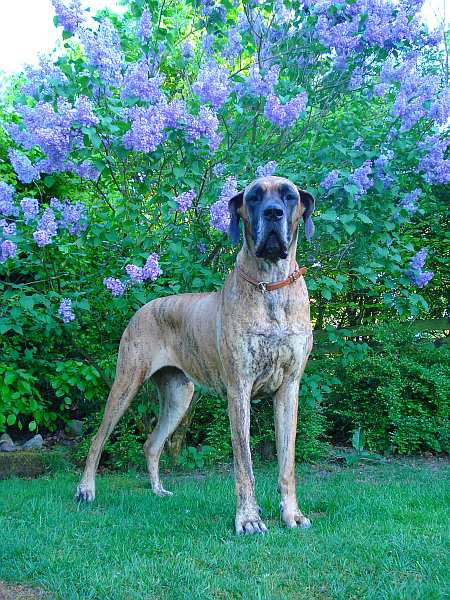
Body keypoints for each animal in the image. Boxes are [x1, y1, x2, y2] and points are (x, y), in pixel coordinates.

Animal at [76, 175, 315, 535]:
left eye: (288, 196)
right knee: (97, 439)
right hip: (126, 381)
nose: (273, 213)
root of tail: (142, 308)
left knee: (151, 444)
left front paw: (292, 514)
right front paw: (249, 518)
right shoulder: (239, 389)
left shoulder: (288, 388)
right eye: (254, 197)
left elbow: (287, 464)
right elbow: (244, 464)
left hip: (178, 395)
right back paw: (86, 490)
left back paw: (158, 490)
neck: (270, 286)